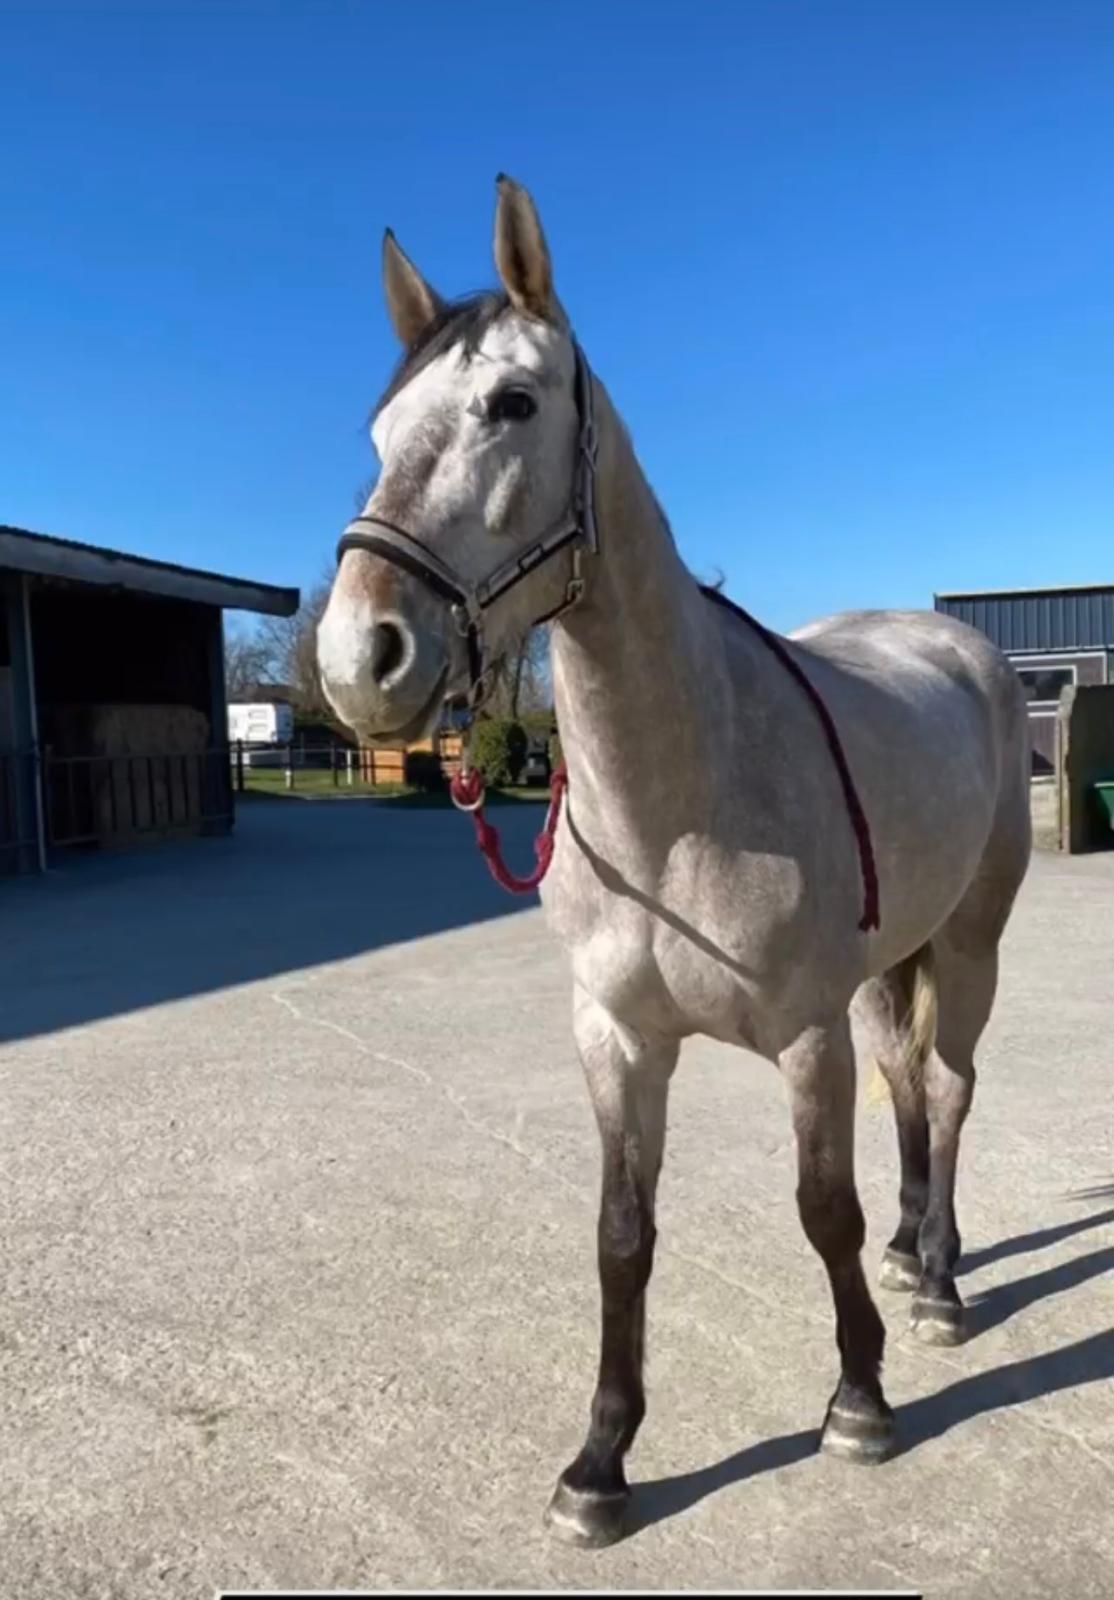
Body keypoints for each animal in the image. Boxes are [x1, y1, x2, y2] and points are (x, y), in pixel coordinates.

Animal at [316, 176, 1032, 1548]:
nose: (359, 658)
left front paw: (858, 1400)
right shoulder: (617, 1038)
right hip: (892, 962)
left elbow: (820, 1209)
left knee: (951, 1085)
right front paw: (600, 1460)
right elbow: (622, 1234)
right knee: (910, 1086)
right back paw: (915, 1245)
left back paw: (937, 1282)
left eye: (512, 403)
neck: (679, 800)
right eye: (380, 428)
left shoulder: (802, 1037)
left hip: (968, 945)